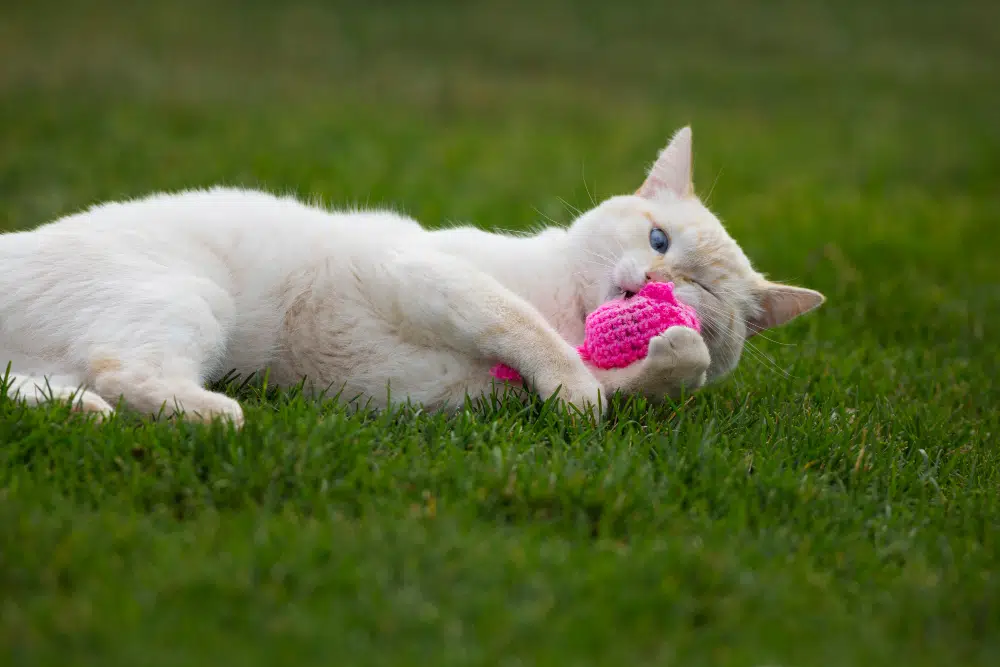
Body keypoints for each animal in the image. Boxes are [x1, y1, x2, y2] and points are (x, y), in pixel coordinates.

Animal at [0, 127, 824, 426]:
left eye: (703, 292)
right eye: (657, 238)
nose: (651, 286)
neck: (569, 308)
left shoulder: (469, 394)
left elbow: (659, 372)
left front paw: (663, 357)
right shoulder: (428, 273)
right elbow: (523, 328)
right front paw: (577, 384)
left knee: (62, 386)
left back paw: (91, 414)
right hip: (188, 297)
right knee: (123, 371)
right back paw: (215, 412)